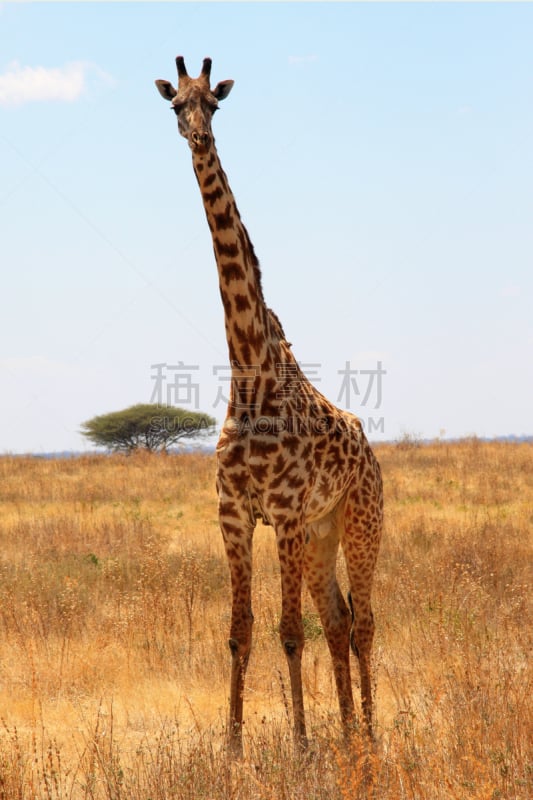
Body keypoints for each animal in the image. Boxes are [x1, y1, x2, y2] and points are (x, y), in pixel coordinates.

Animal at [154, 56, 382, 756]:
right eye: (176, 105)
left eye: (214, 104)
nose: (198, 137)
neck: (250, 375)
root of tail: (370, 451)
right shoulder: (233, 514)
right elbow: (242, 631)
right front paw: (231, 747)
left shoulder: (281, 514)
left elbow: (286, 632)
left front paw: (303, 747)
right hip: (321, 532)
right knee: (337, 619)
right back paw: (348, 732)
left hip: (360, 521)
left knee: (363, 622)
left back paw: (369, 735)